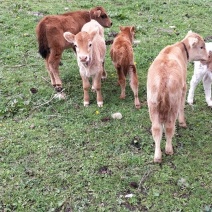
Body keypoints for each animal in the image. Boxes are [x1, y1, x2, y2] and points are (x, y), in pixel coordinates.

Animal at [147, 30, 208, 162]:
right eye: (201, 47)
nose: (208, 57)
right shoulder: (184, 87)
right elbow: (182, 106)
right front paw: (182, 122)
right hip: (172, 104)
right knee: (169, 127)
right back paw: (169, 150)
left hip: (152, 105)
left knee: (156, 129)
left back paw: (157, 156)